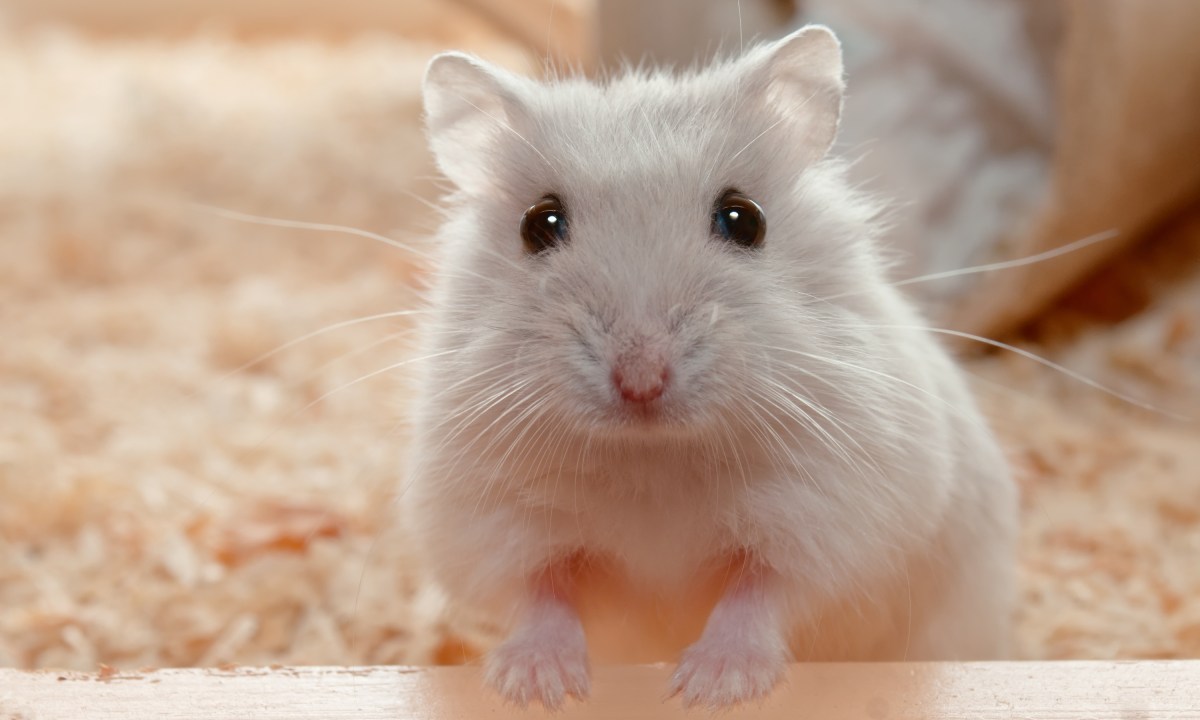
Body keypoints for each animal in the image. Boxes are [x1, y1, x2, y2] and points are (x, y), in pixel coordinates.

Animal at [408, 25, 1017, 710]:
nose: (641, 380)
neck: (654, 458)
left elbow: (760, 594)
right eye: (539, 224)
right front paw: (541, 687)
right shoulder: (491, 521)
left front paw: (709, 687)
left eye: (743, 218)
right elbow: (539, 594)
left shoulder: (832, 517)